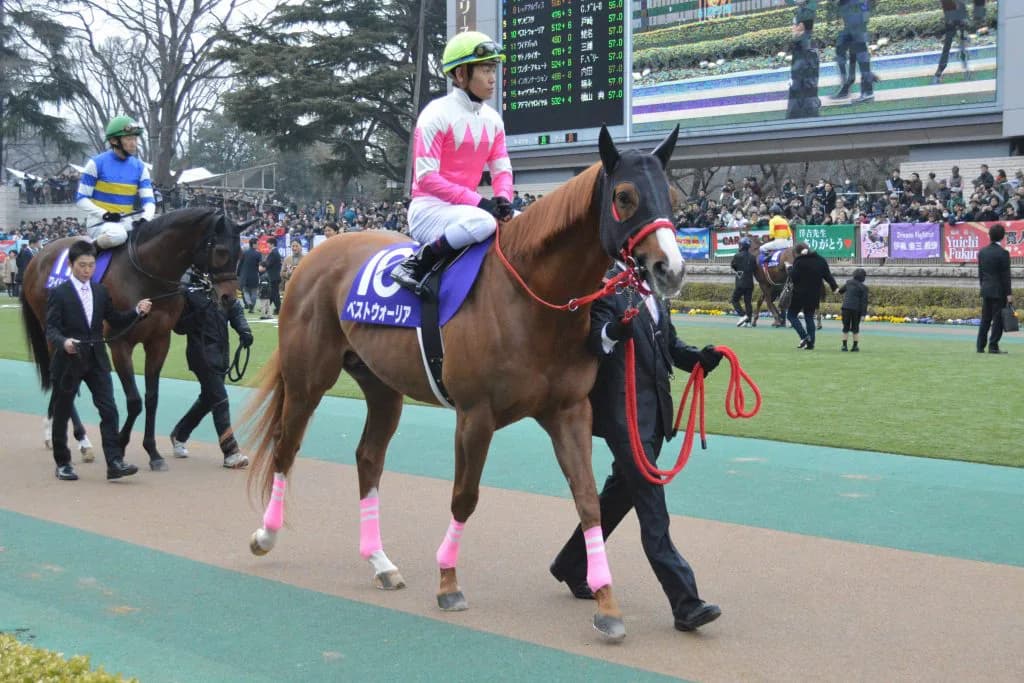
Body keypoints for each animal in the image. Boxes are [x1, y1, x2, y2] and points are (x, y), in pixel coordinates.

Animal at [20, 209, 247, 470]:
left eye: (240, 253)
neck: (147, 275)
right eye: (221, 251)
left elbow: (151, 398)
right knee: (62, 380)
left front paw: (153, 452)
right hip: (56, 333)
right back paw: (82, 440)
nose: (230, 298)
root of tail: (39, 256)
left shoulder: (159, 341)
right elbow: (135, 400)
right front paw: (119, 444)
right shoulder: (120, 344)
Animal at [243, 126, 685, 641]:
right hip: (308, 378)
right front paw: (448, 582)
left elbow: (588, 501)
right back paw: (266, 534)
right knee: (286, 445)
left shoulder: (569, 411)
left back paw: (379, 561)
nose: (671, 268)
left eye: (671, 196)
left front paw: (607, 603)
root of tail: (315, 253)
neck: (531, 299)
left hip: (382, 387)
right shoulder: (476, 414)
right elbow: (465, 497)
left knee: (368, 459)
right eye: (624, 196)